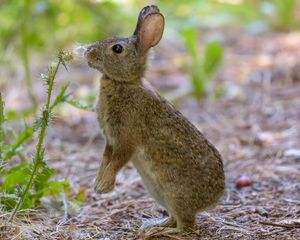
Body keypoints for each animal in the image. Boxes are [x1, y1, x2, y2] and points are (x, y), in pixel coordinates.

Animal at [83, 4, 224, 232]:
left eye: (117, 49)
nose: (88, 52)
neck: (124, 83)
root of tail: (214, 198)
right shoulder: (110, 140)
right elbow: (105, 159)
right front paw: (98, 184)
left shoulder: (126, 139)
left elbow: (117, 161)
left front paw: (103, 187)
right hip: (160, 194)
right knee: (176, 218)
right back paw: (152, 225)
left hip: (174, 193)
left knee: (186, 225)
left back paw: (156, 231)